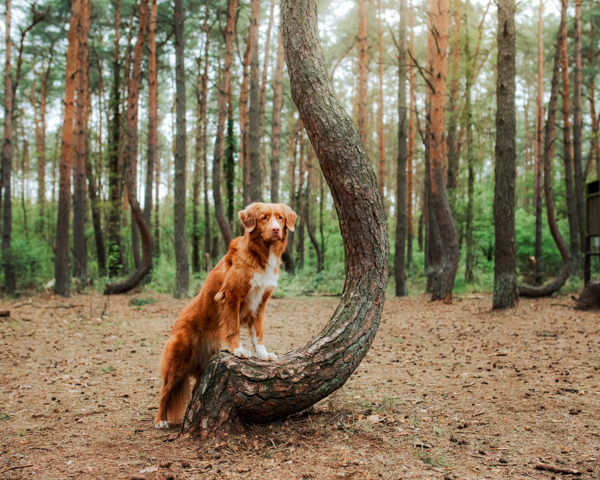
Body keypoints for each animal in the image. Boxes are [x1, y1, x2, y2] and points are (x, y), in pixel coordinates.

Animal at [154, 202, 296, 428]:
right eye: (264, 218)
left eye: (280, 218)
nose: (275, 230)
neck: (261, 254)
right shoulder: (231, 297)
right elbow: (233, 327)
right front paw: (238, 350)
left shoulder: (261, 302)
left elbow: (258, 332)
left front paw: (262, 353)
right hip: (179, 361)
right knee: (164, 391)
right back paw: (160, 421)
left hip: (203, 367)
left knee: (196, 392)